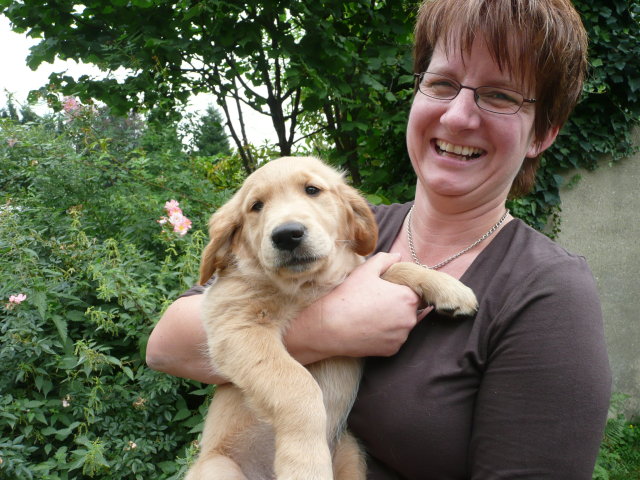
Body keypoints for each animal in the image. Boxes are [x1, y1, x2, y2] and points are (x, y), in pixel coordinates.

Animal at [184, 156, 477, 480]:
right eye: (256, 206)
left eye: (312, 190)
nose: (287, 234)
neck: (307, 285)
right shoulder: (235, 325)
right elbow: (298, 386)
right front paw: (305, 464)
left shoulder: (354, 271)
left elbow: (391, 266)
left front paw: (448, 287)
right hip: (218, 467)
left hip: (350, 450)